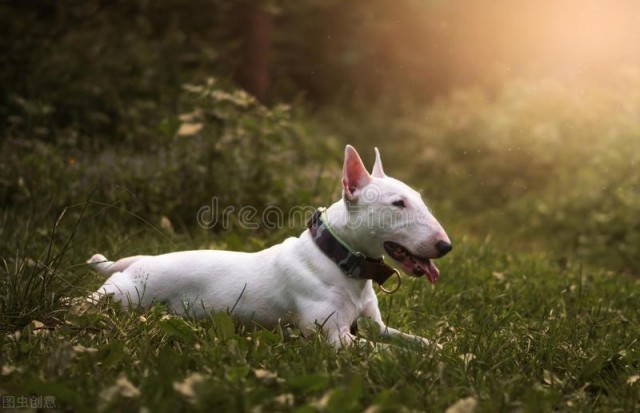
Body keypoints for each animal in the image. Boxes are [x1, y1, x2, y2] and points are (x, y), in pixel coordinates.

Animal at [87, 145, 452, 344]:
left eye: (418, 198)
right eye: (398, 204)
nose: (445, 246)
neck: (338, 259)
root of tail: (136, 261)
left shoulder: (378, 327)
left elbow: (417, 342)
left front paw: (451, 351)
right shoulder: (335, 338)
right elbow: (383, 353)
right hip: (124, 296)